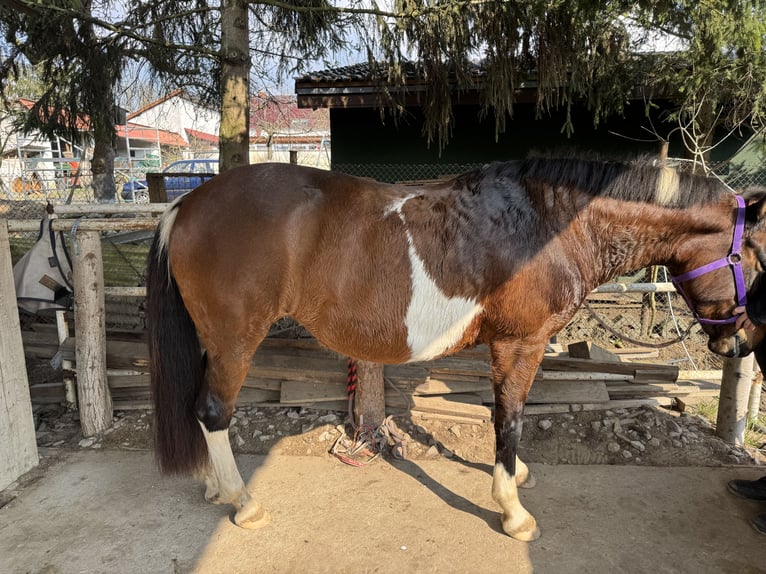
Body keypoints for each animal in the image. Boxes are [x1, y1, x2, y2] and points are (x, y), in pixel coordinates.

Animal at [145, 156, 766, 541]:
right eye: (753, 257)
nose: (742, 341)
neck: (547, 223)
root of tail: (188, 204)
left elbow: (504, 416)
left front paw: (515, 478)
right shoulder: (521, 343)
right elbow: (510, 418)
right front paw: (513, 510)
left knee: (201, 409)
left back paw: (215, 487)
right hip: (235, 337)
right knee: (214, 411)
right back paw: (243, 502)